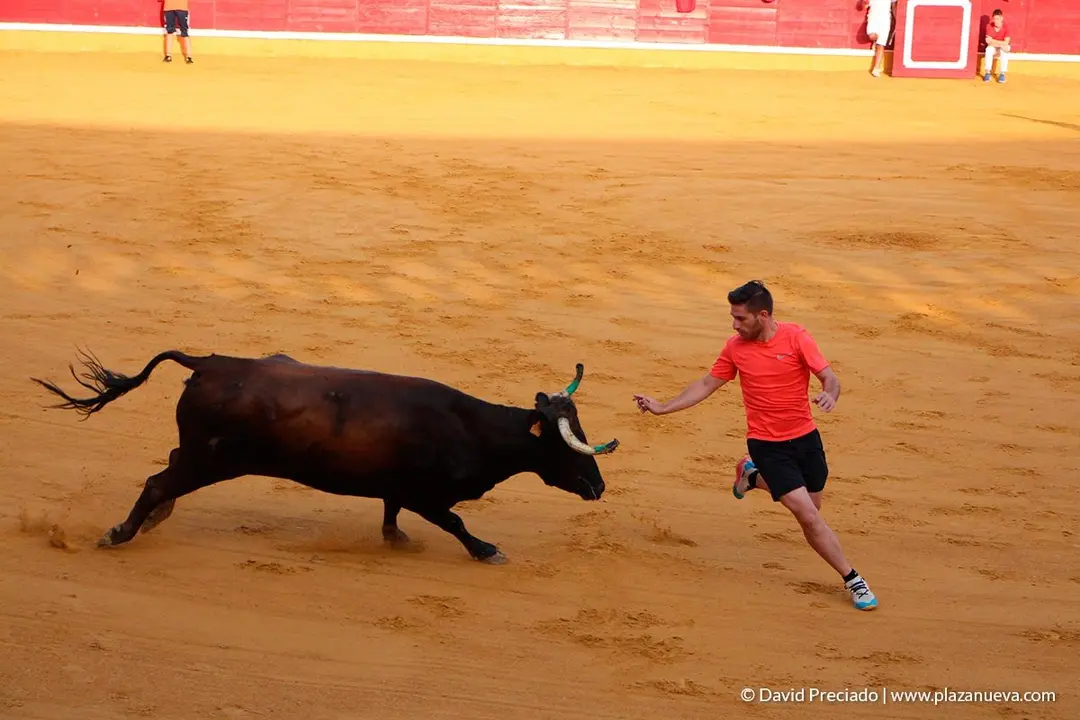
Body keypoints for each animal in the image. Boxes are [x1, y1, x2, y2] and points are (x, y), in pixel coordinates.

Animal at [30, 349, 619, 564]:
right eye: (568, 444)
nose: (599, 486)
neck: (474, 429)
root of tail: (211, 361)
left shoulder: (398, 488)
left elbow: (390, 511)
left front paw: (395, 541)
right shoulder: (427, 495)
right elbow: (454, 522)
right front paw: (487, 550)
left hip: (199, 454)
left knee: (166, 471)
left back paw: (153, 520)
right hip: (211, 461)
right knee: (159, 481)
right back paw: (120, 534)